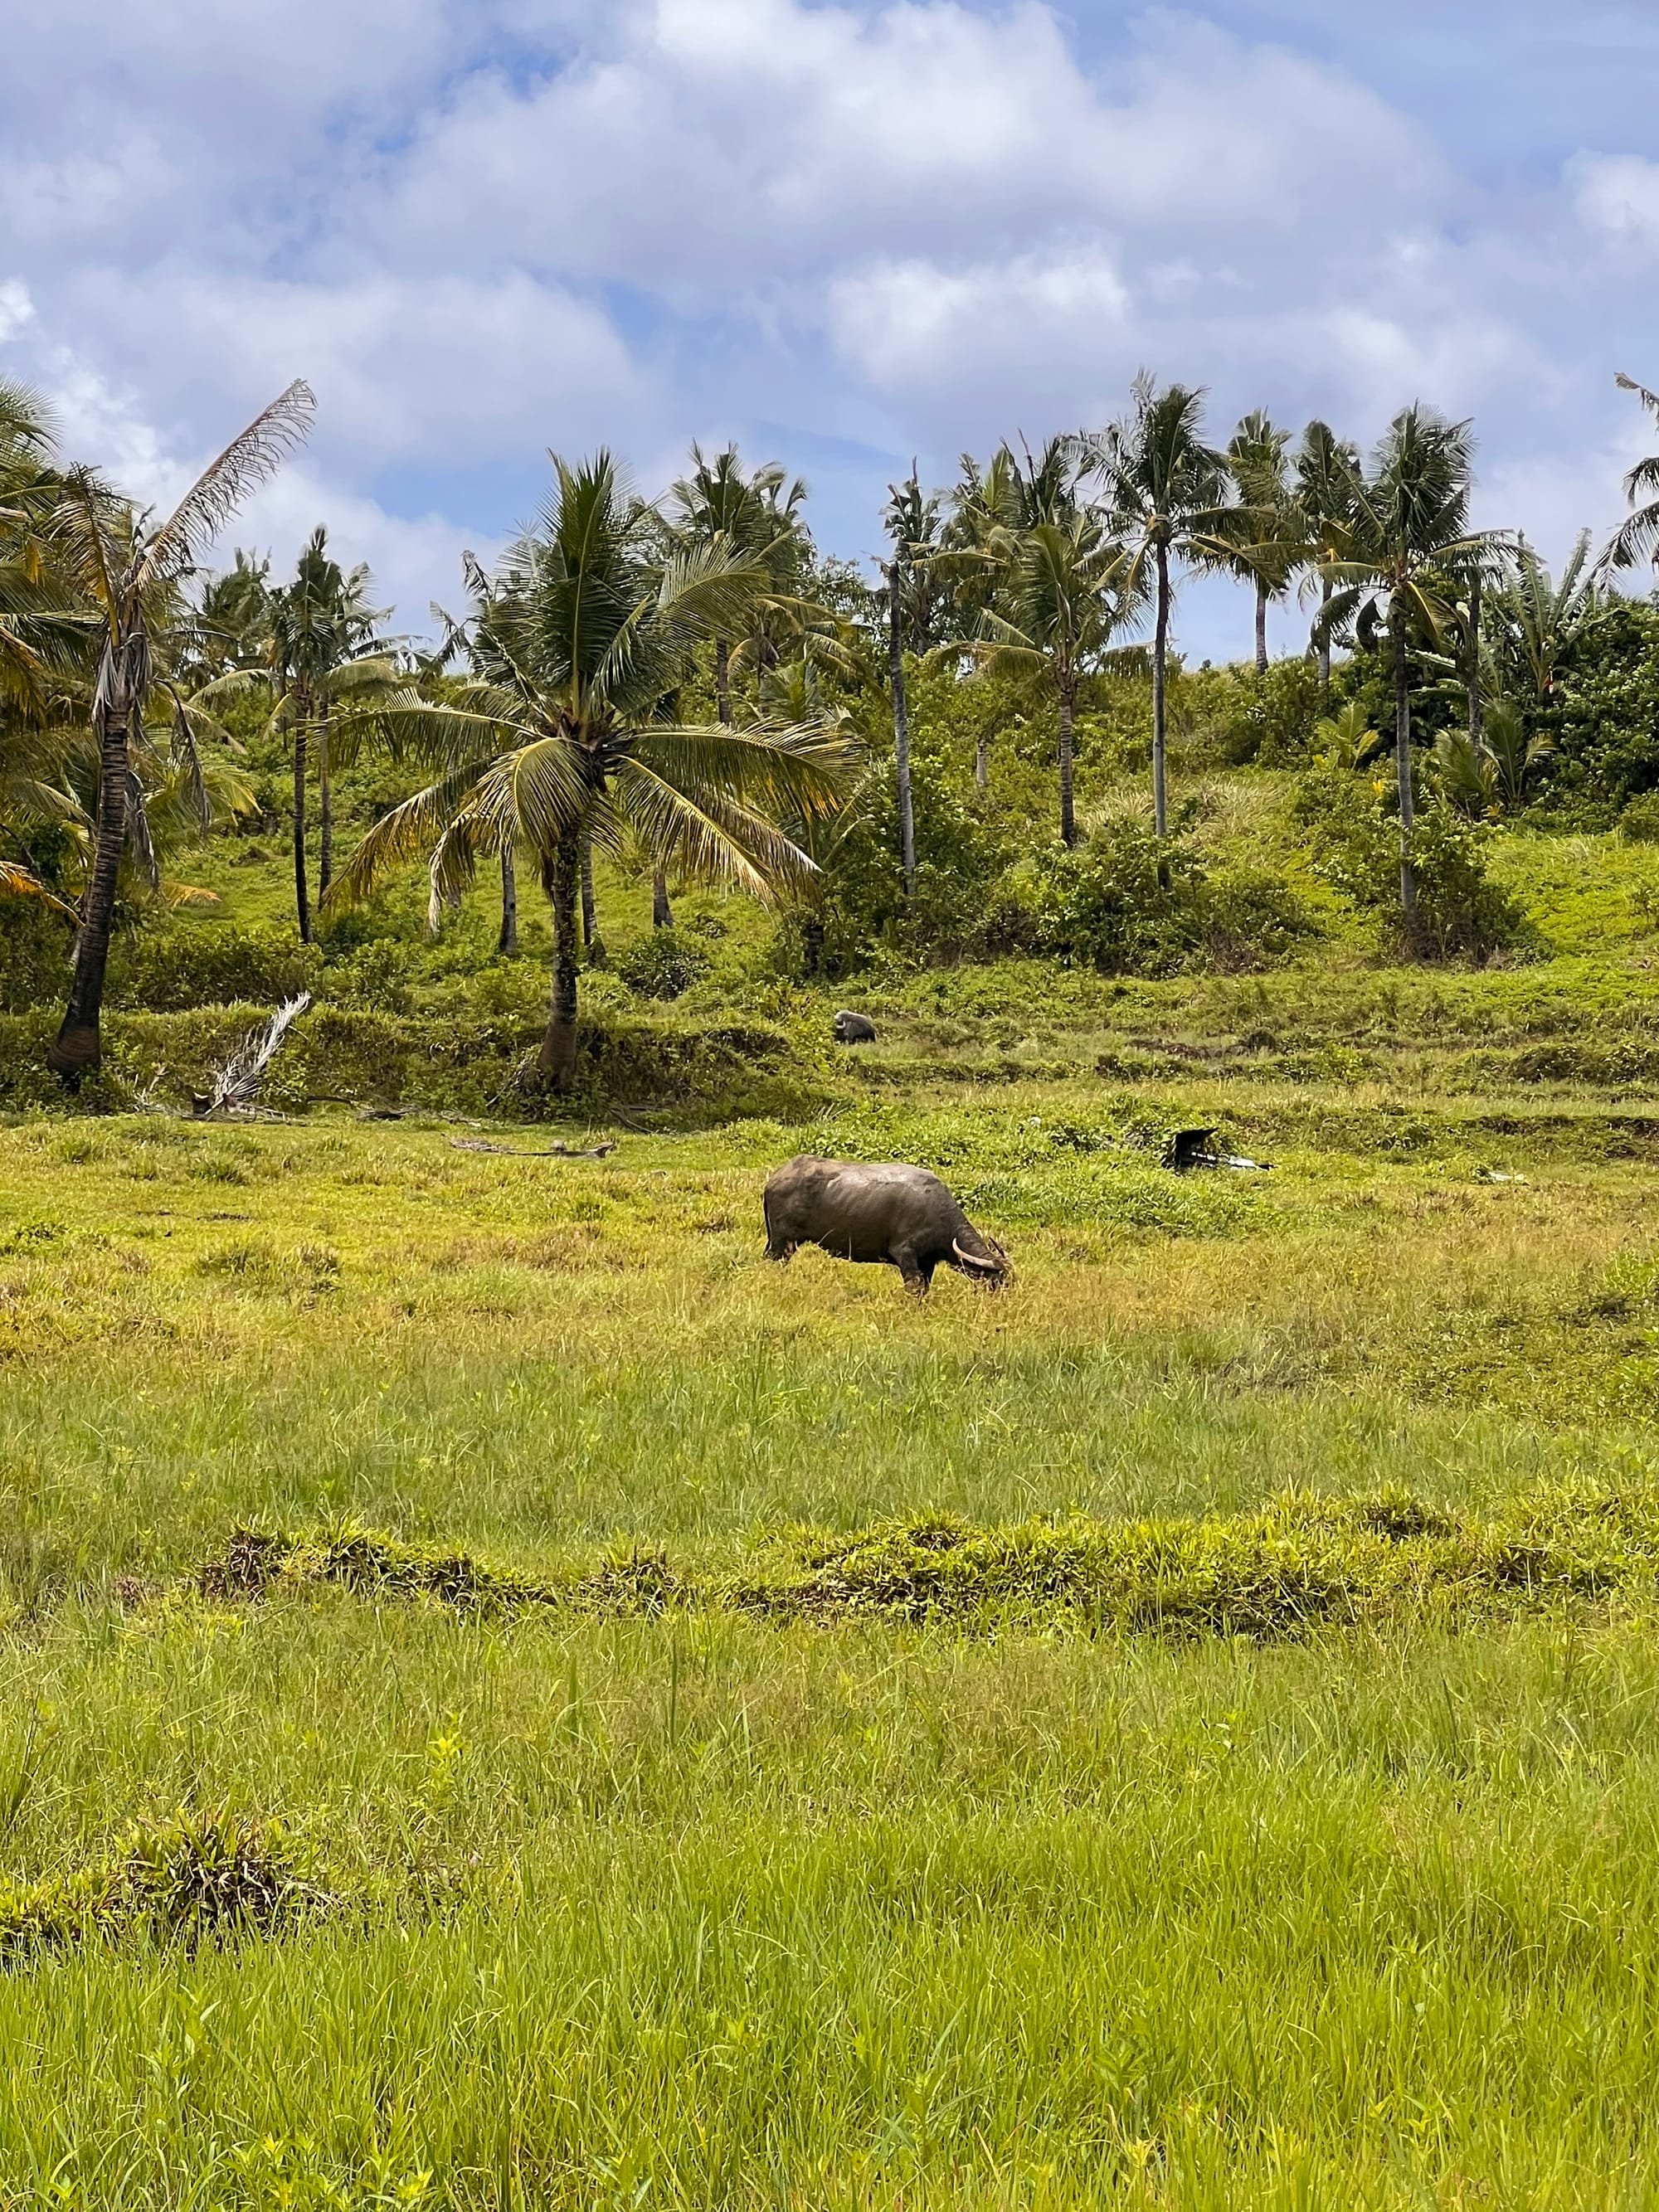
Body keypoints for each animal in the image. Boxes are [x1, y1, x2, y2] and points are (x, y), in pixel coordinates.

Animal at [765, 1159, 1013, 1291]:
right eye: (996, 1280)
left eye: (1008, 1279)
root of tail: (774, 1179)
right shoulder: (905, 1253)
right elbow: (914, 1286)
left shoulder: (928, 1262)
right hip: (782, 1241)